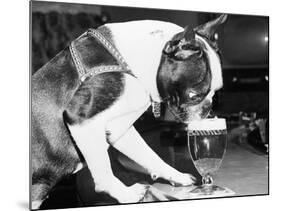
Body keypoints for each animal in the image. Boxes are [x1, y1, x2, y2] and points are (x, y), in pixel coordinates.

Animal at [31, 14, 226, 209]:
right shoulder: (81, 118)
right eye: (194, 95)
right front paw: (126, 195)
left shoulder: (118, 130)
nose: (207, 110)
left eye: (216, 93)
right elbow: (104, 171)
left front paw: (177, 176)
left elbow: (149, 154)